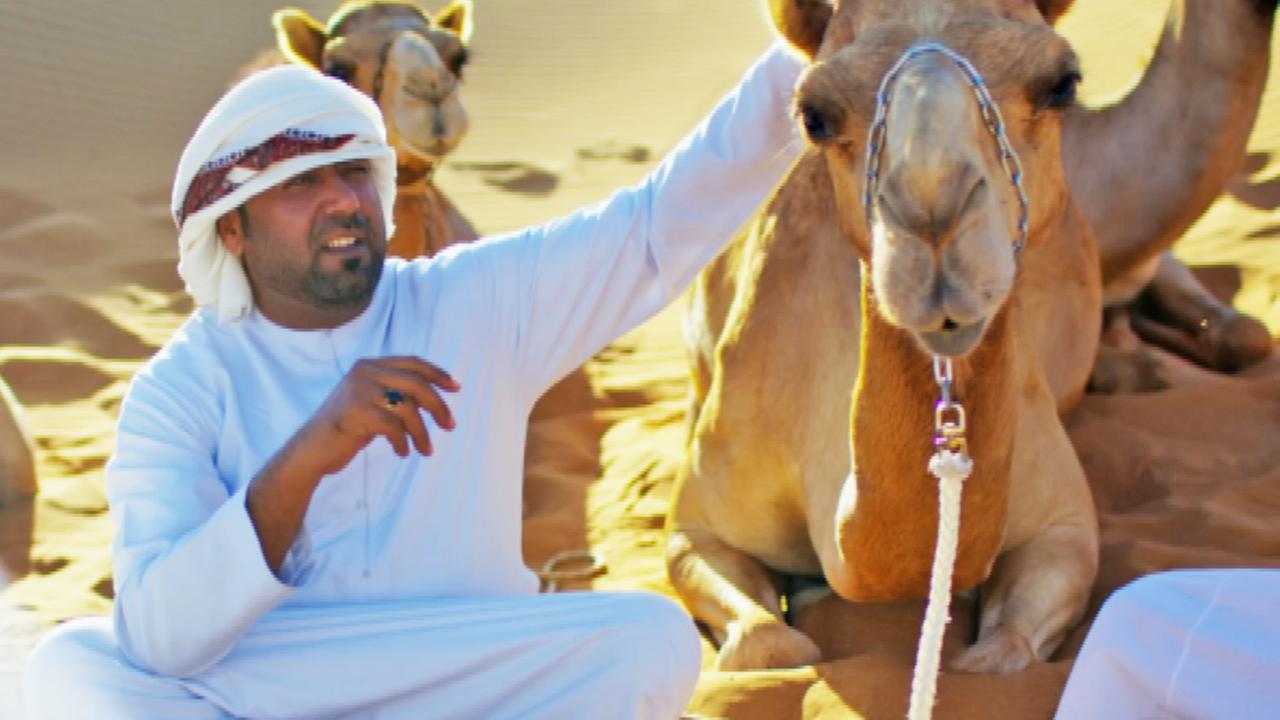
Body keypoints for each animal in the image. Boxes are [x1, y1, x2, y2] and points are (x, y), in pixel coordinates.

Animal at [667, 0, 1277, 675]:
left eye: (1061, 82)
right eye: (814, 116)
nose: (934, 219)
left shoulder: (1063, 528)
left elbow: (1000, 657)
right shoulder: (696, 525)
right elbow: (768, 645)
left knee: (1236, 327)